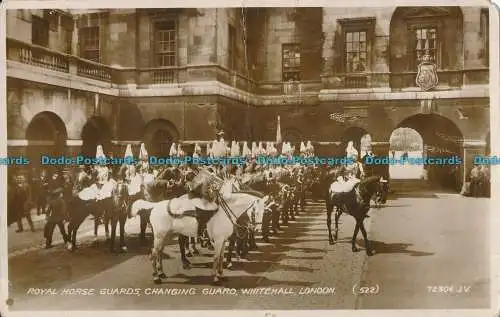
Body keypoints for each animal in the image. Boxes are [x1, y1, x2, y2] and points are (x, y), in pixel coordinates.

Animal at [131, 180, 268, 284]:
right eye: (255, 210)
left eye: (264, 211)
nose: (256, 229)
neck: (225, 212)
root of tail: (155, 206)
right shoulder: (218, 240)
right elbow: (216, 258)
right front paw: (215, 278)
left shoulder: (223, 240)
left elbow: (221, 257)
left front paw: (221, 275)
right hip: (160, 236)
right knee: (154, 254)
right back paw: (156, 277)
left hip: (165, 236)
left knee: (159, 252)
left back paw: (161, 273)